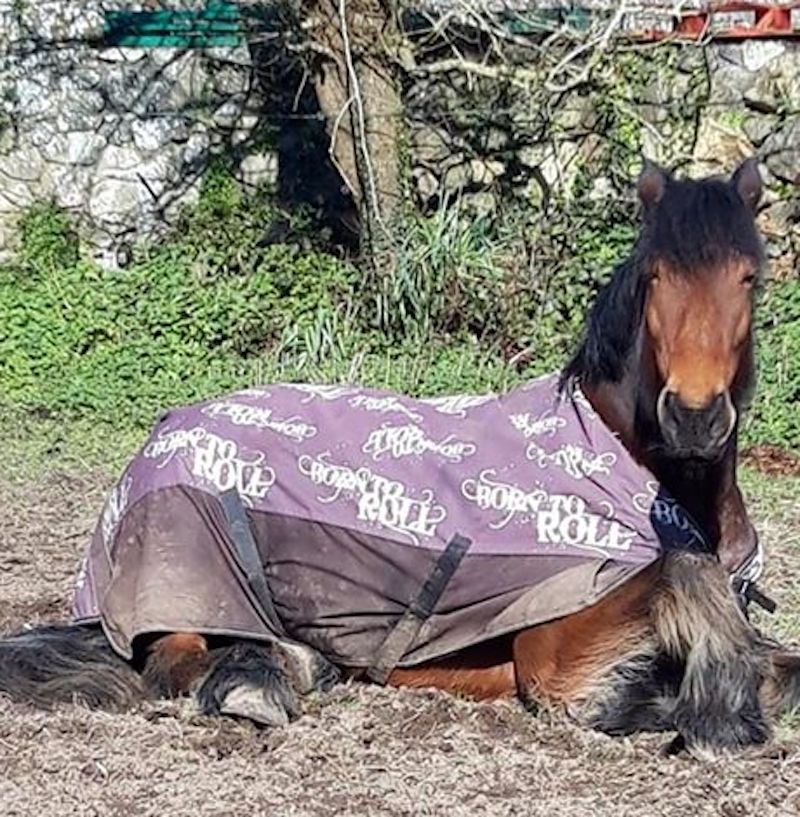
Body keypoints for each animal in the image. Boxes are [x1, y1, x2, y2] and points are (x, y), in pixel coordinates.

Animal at [2, 158, 798, 759]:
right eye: (655, 276)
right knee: (172, 661)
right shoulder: (555, 660)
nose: (694, 416)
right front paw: (723, 717)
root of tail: (159, 436)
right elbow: (687, 596)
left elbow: (779, 662)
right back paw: (257, 681)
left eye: (749, 279)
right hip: (188, 583)